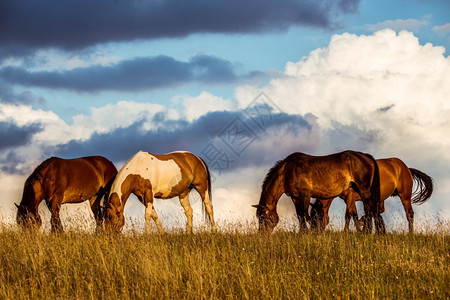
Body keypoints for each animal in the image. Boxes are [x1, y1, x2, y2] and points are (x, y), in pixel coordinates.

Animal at [251, 151, 382, 233]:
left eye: (262, 217)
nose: (261, 233)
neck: (287, 171)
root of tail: (365, 156)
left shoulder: (305, 195)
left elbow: (304, 213)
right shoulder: (295, 196)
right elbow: (299, 215)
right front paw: (303, 232)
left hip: (364, 191)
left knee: (368, 209)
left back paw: (366, 231)